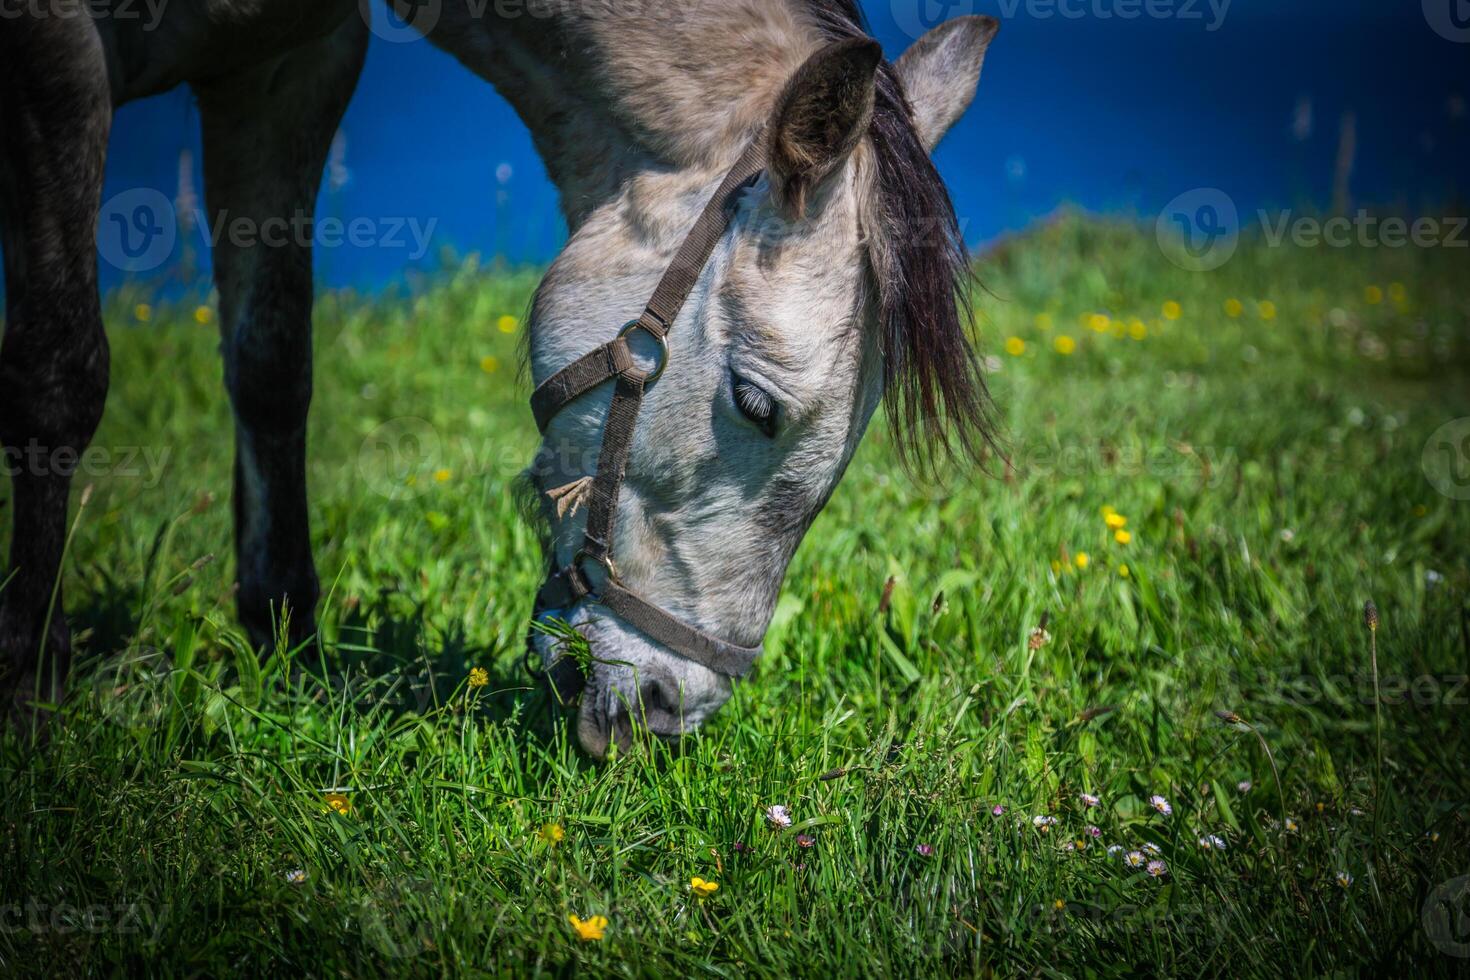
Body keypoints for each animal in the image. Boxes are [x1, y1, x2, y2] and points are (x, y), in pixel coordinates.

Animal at [2, 0, 999, 758]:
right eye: (754, 406)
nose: (668, 710)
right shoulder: (56, 56)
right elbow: (59, 376)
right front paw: (32, 682)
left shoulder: (288, 67)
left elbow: (272, 365)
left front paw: (282, 638)